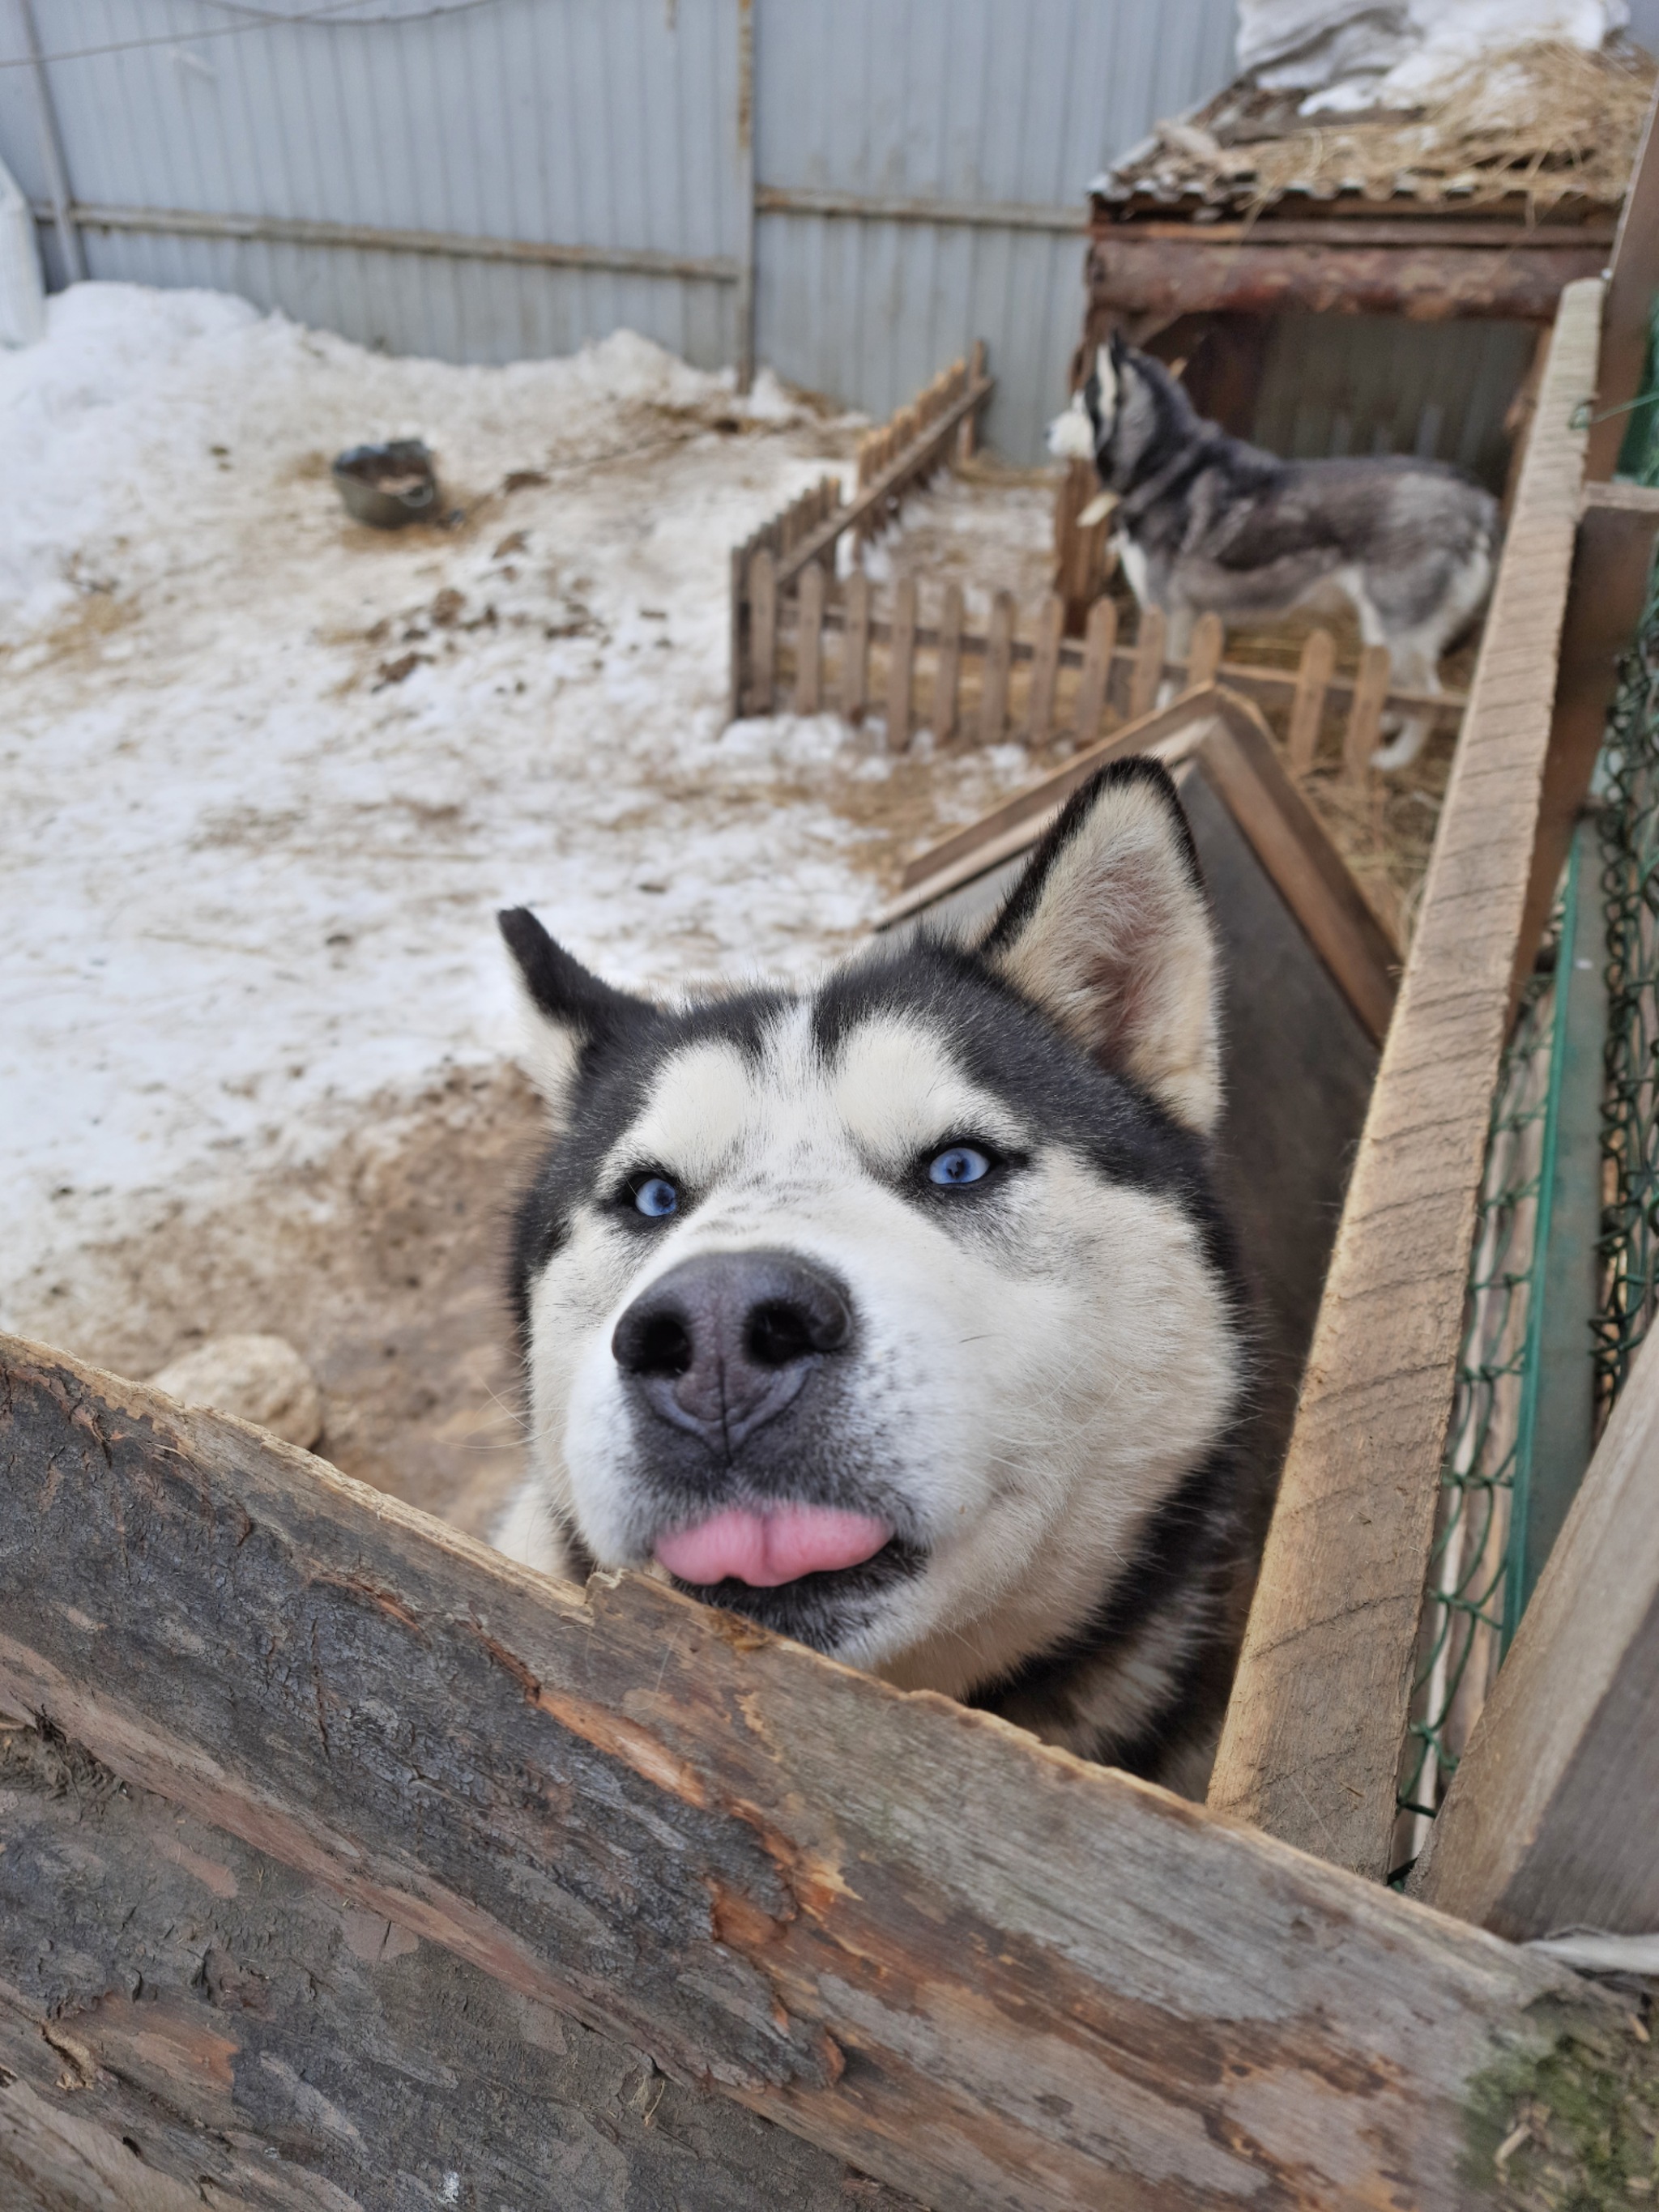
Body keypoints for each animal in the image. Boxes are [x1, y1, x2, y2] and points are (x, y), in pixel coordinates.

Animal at [1052, 334, 1503, 769]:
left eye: (1076, 408)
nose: (1045, 432)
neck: (1163, 465)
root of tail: (1477, 498)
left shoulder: (1169, 613)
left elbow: (1167, 677)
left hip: (1394, 628)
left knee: (1429, 697)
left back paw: (1395, 758)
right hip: (1391, 636)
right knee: (1397, 687)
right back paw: (1385, 722)